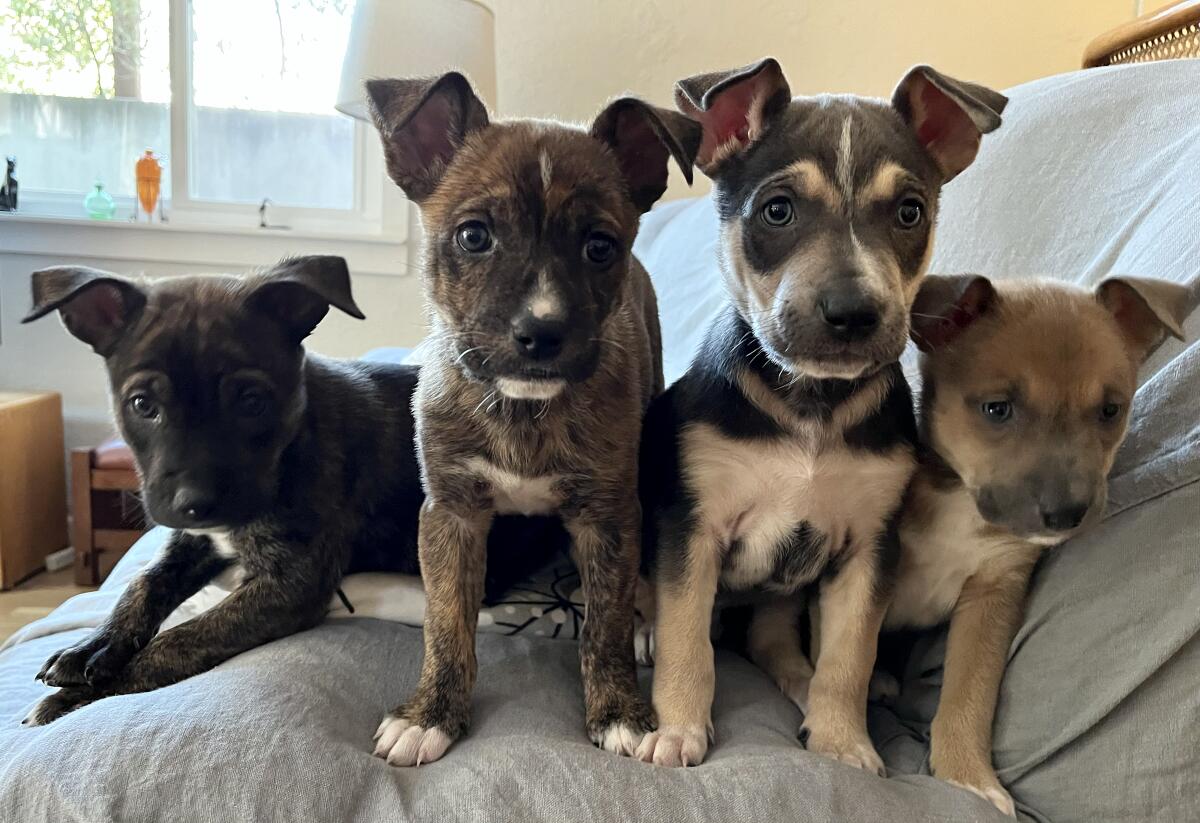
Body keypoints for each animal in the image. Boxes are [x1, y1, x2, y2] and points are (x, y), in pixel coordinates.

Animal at [364, 70, 700, 767]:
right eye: (473, 236)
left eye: (600, 247)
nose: (541, 334)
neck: (522, 406)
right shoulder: (451, 515)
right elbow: (446, 621)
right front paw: (430, 715)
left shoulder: (608, 517)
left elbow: (604, 625)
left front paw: (619, 712)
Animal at [643, 59, 1008, 772]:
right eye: (777, 211)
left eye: (909, 212)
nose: (853, 314)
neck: (812, 399)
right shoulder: (692, 529)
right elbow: (686, 638)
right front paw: (677, 729)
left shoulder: (867, 550)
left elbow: (849, 658)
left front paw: (842, 740)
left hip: (785, 593)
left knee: (774, 643)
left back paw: (804, 686)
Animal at [892, 273, 1190, 815]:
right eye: (997, 409)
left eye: (1110, 410)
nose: (1067, 515)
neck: (960, 502)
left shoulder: (994, 593)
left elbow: (969, 694)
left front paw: (968, 777)